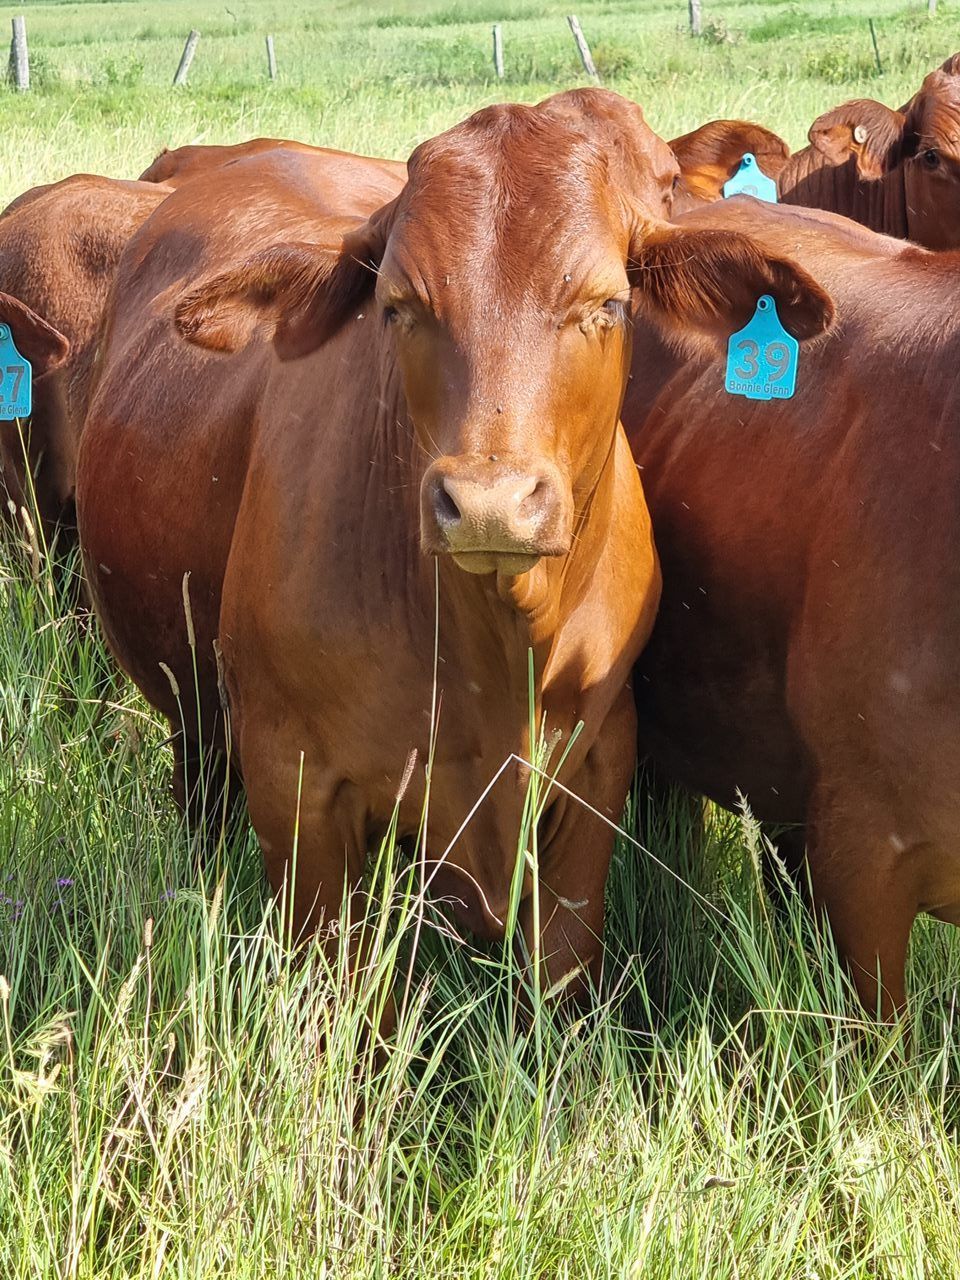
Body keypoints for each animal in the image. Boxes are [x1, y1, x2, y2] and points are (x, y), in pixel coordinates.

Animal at [76, 89, 832, 1012]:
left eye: (609, 304)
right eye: (398, 306)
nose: (490, 506)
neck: (493, 653)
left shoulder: (596, 768)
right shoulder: (297, 791)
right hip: (194, 721)